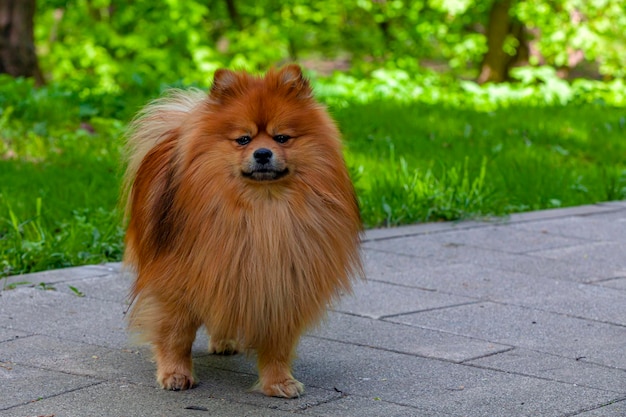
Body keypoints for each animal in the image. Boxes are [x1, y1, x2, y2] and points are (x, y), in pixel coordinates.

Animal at [121, 64, 360, 396]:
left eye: (282, 138)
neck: (263, 211)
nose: (263, 153)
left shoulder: (280, 286)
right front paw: (175, 374)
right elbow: (176, 334)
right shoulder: (178, 281)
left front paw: (278, 381)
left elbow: (277, 346)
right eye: (243, 140)